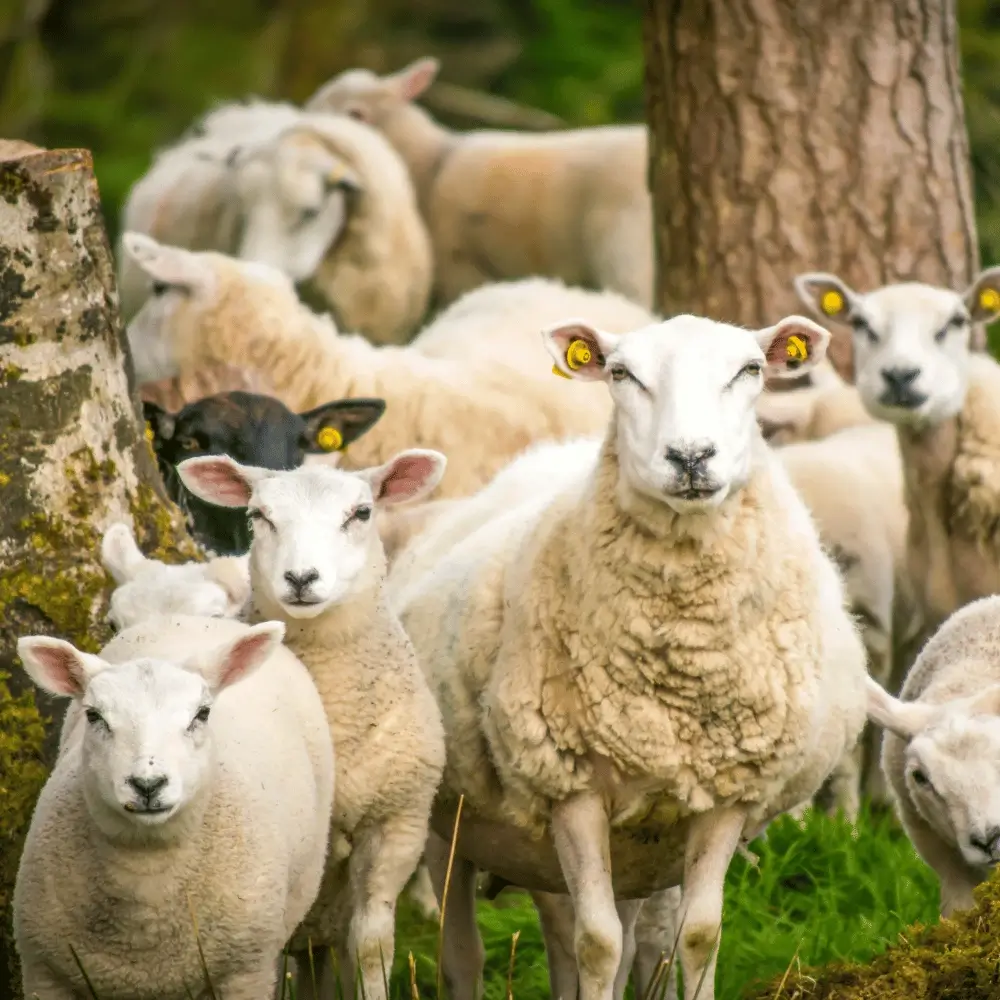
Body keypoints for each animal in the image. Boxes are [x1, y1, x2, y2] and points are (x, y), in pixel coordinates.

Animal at [12, 615, 334, 1000]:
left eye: (202, 713)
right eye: (94, 716)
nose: (148, 784)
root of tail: (199, 618)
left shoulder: (245, 974)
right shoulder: (45, 974)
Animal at [390, 312, 868, 1000]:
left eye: (750, 369)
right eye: (622, 374)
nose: (690, 456)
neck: (681, 660)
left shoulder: (726, 794)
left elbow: (696, 936)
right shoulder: (571, 788)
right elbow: (597, 943)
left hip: (635, 846)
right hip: (448, 817)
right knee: (464, 952)